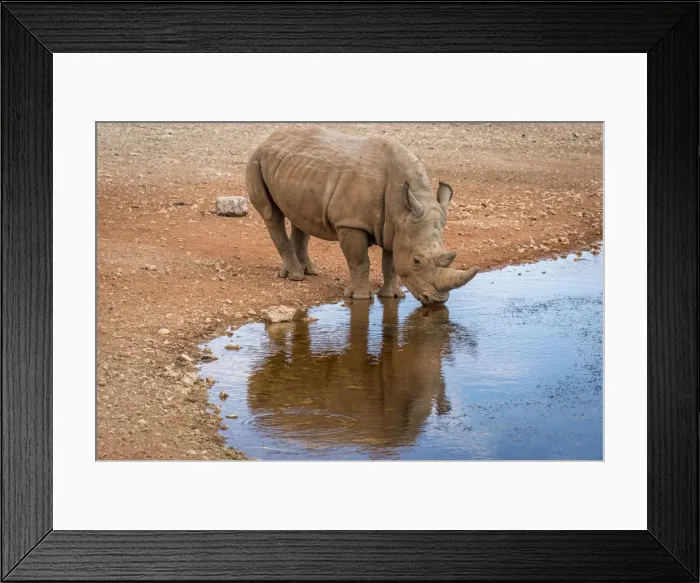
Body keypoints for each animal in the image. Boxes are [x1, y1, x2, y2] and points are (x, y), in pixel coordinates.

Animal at [246, 127, 478, 304]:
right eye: (417, 261)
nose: (438, 300)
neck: (401, 209)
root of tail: (267, 139)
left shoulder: (395, 227)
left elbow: (390, 263)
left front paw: (392, 296)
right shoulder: (351, 223)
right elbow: (359, 260)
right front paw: (360, 298)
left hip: (293, 168)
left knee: (299, 216)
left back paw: (309, 271)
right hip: (255, 159)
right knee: (271, 214)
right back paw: (295, 277)